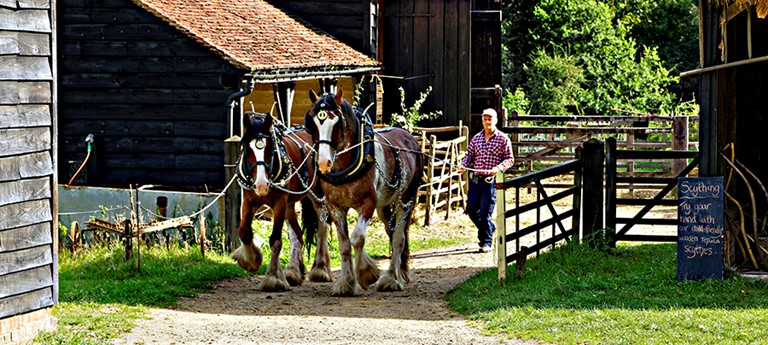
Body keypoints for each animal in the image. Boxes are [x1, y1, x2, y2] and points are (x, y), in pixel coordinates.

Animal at [232, 111, 332, 288]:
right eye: (247, 148)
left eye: (270, 149)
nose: (261, 184)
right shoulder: (249, 201)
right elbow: (244, 231)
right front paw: (251, 261)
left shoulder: (279, 203)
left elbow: (275, 240)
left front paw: (273, 278)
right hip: (290, 204)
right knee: (297, 234)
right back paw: (293, 271)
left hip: (317, 195)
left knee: (322, 229)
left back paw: (321, 269)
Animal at [304, 86, 424, 296]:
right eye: (313, 122)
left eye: (336, 121)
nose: (323, 163)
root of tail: (411, 138)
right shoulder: (335, 207)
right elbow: (344, 244)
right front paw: (345, 283)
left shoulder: (367, 205)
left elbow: (357, 238)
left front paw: (367, 273)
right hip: (384, 206)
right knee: (391, 231)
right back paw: (400, 272)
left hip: (406, 199)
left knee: (398, 238)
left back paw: (391, 279)